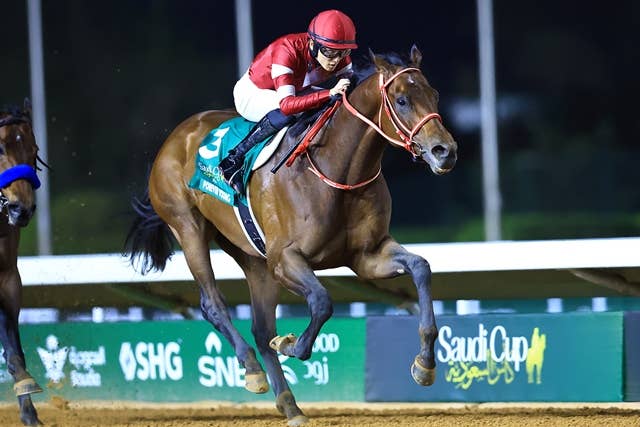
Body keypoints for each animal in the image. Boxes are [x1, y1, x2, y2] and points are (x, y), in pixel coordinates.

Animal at [125, 45, 457, 426]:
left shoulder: (367, 256)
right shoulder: (285, 259)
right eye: (401, 100)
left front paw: (425, 365)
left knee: (260, 327)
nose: (445, 151)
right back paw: (252, 369)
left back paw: (289, 404)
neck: (337, 171)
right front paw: (291, 344)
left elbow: (420, 267)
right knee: (214, 304)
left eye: (434, 94)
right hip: (187, 225)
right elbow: (322, 301)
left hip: (252, 257)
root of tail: (176, 135)